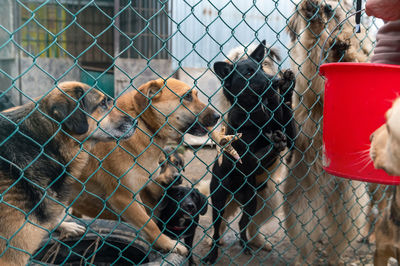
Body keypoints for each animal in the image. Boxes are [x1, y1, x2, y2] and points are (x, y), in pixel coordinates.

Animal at [68, 78, 219, 256]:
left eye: (195, 94)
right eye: (187, 96)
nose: (218, 116)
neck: (144, 124)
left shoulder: (136, 194)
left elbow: (147, 219)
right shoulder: (122, 196)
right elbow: (150, 224)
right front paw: (168, 244)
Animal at [205, 41, 296, 264]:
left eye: (262, 68)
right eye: (247, 73)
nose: (275, 81)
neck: (257, 112)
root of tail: (236, 195)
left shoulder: (290, 135)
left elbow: (285, 115)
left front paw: (287, 88)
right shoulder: (245, 158)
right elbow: (258, 152)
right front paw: (273, 143)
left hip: (251, 203)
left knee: (242, 224)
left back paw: (245, 244)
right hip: (218, 201)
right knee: (216, 230)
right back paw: (212, 254)